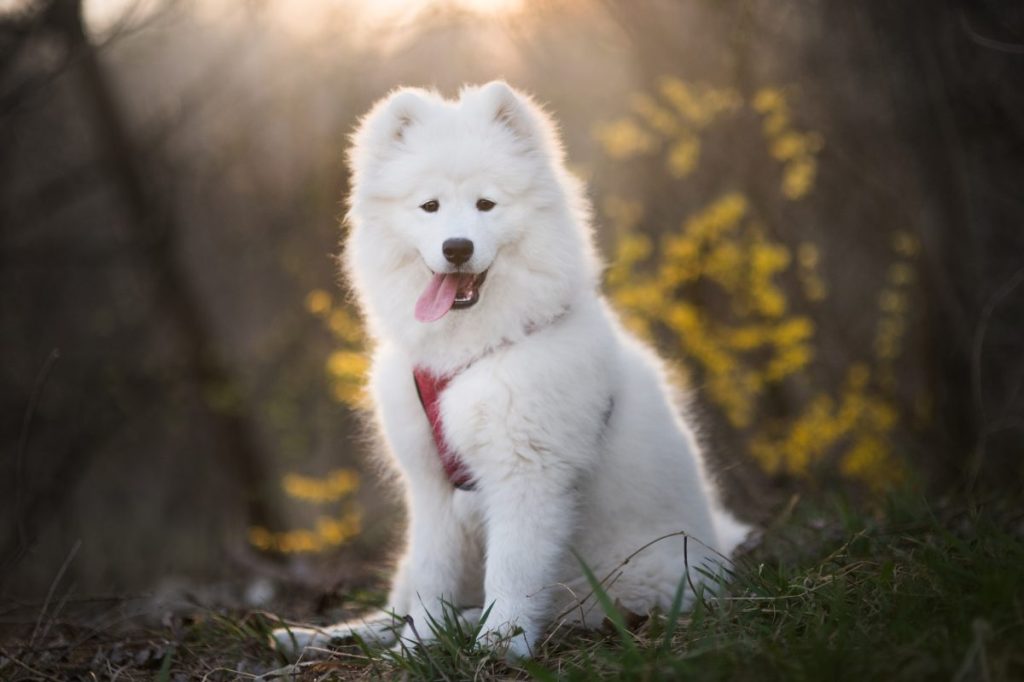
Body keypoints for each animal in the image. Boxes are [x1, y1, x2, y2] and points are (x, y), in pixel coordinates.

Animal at [276, 79, 749, 659]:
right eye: (429, 206)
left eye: (486, 204)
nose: (457, 247)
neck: (472, 352)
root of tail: (715, 554)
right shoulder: (431, 488)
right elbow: (430, 580)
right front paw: (415, 648)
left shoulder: (526, 473)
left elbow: (511, 574)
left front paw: (497, 645)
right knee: (396, 602)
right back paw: (318, 635)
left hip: (621, 580)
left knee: (567, 606)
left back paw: (465, 625)